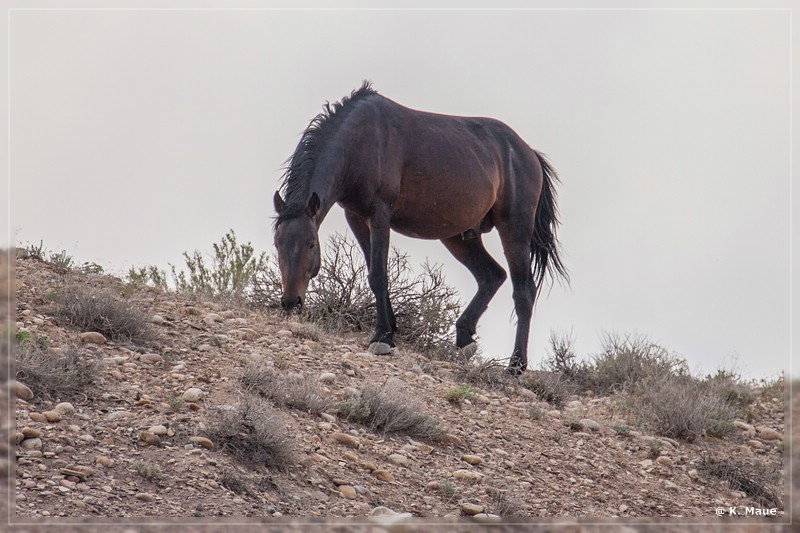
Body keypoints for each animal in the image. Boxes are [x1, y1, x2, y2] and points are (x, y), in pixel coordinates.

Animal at [276, 84, 568, 374]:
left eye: (311, 244)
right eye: (277, 243)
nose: (291, 302)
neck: (361, 139)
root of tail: (529, 153)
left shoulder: (380, 213)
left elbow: (378, 274)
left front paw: (381, 337)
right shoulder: (356, 216)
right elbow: (374, 270)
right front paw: (390, 330)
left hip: (514, 231)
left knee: (523, 291)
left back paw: (516, 365)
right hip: (458, 237)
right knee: (492, 276)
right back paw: (465, 340)